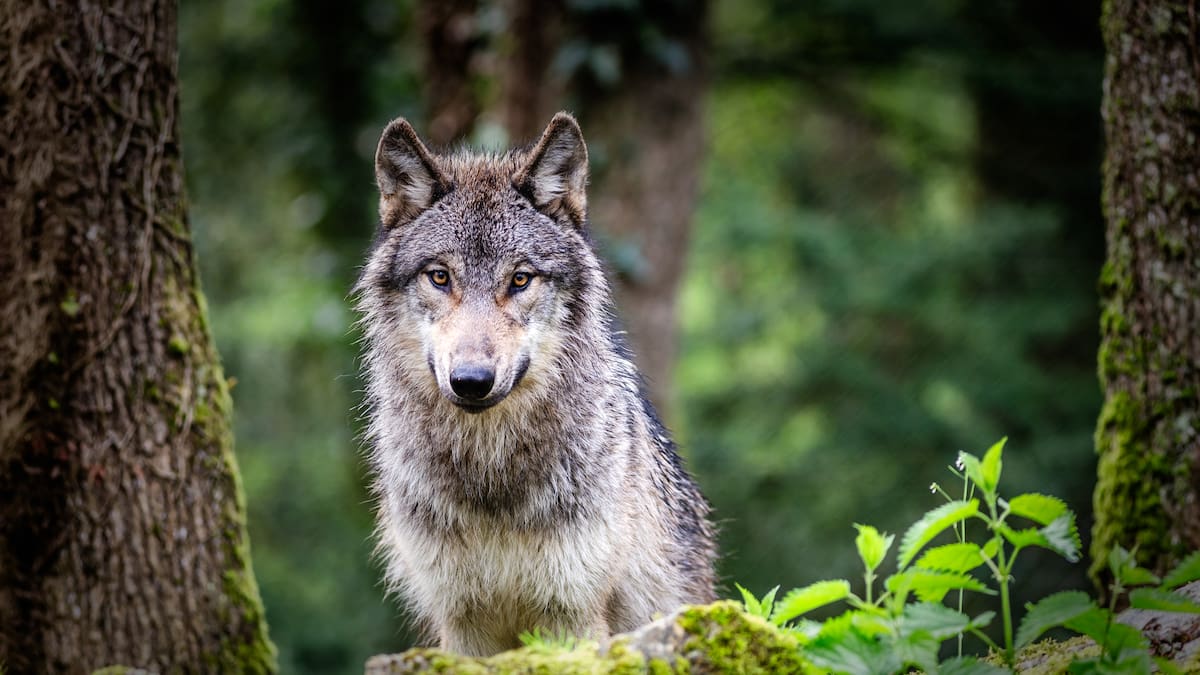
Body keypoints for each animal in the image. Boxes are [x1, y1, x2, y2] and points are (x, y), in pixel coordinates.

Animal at [355, 111, 717, 656]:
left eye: (520, 279)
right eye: (439, 277)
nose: (471, 381)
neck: (491, 478)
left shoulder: (571, 615)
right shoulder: (461, 622)